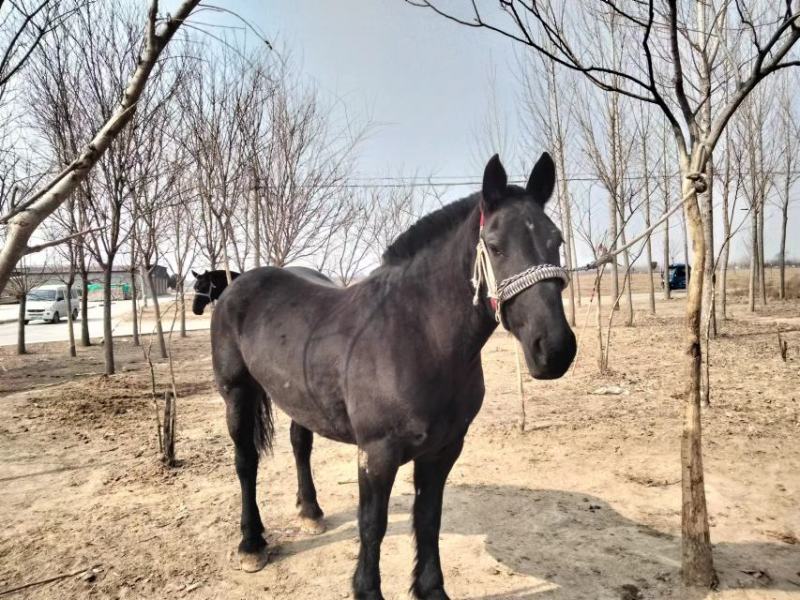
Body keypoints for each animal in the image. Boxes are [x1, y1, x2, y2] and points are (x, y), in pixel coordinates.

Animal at [211, 153, 577, 600]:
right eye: (494, 246)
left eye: (556, 241)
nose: (555, 350)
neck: (416, 335)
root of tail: (237, 285)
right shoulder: (377, 453)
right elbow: (373, 526)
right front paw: (367, 590)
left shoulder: (443, 449)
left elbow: (429, 518)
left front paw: (431, 589)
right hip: (236, 393)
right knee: (245, 462)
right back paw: (251, 544)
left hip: (300, 397)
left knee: (300, 445)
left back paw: (310, 511)